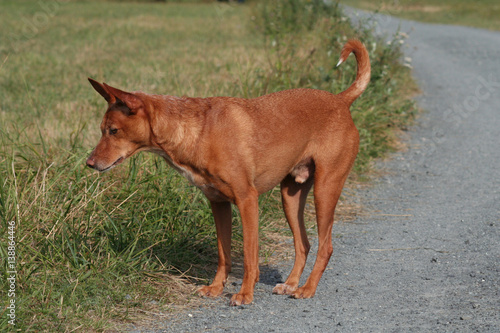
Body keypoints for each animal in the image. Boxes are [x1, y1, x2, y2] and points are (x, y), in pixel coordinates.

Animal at [88, 38, 372, 304]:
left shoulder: (247, 200)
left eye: (113, 130)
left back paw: (307, 289)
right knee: (303, 243)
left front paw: (245, 293)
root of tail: (340, 100)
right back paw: (291, 284)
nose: (89, 163)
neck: (200, 131)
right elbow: (223, 253)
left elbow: (248, 254)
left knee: (326, 246)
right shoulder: (218, 203)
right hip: (291, 195)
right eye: (102, 129)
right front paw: (215, 288)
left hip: (325, 189)